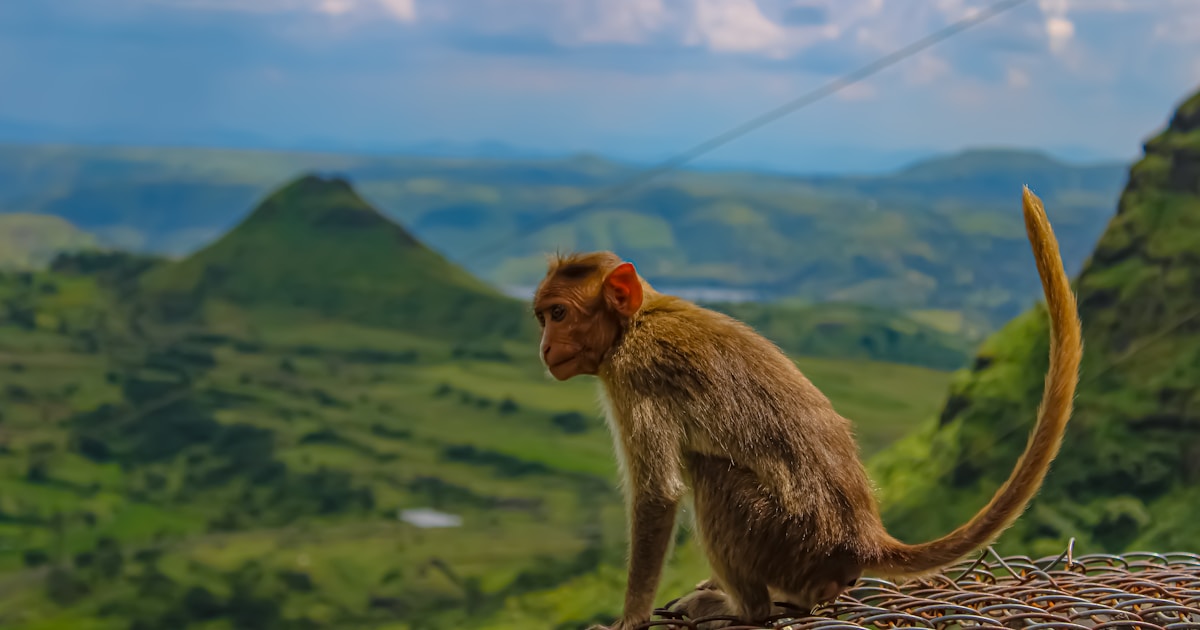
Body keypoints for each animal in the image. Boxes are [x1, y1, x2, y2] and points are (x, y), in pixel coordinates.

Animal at [530, 187, 1082, 630]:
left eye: (559, 314)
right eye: (542, 317)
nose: (544, 347)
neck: (638, 320)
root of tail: (861, 539)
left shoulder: (633, 375)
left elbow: (658, 497)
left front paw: (628, 620)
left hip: (786, 539)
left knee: (710, 471)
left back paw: (745, 608)